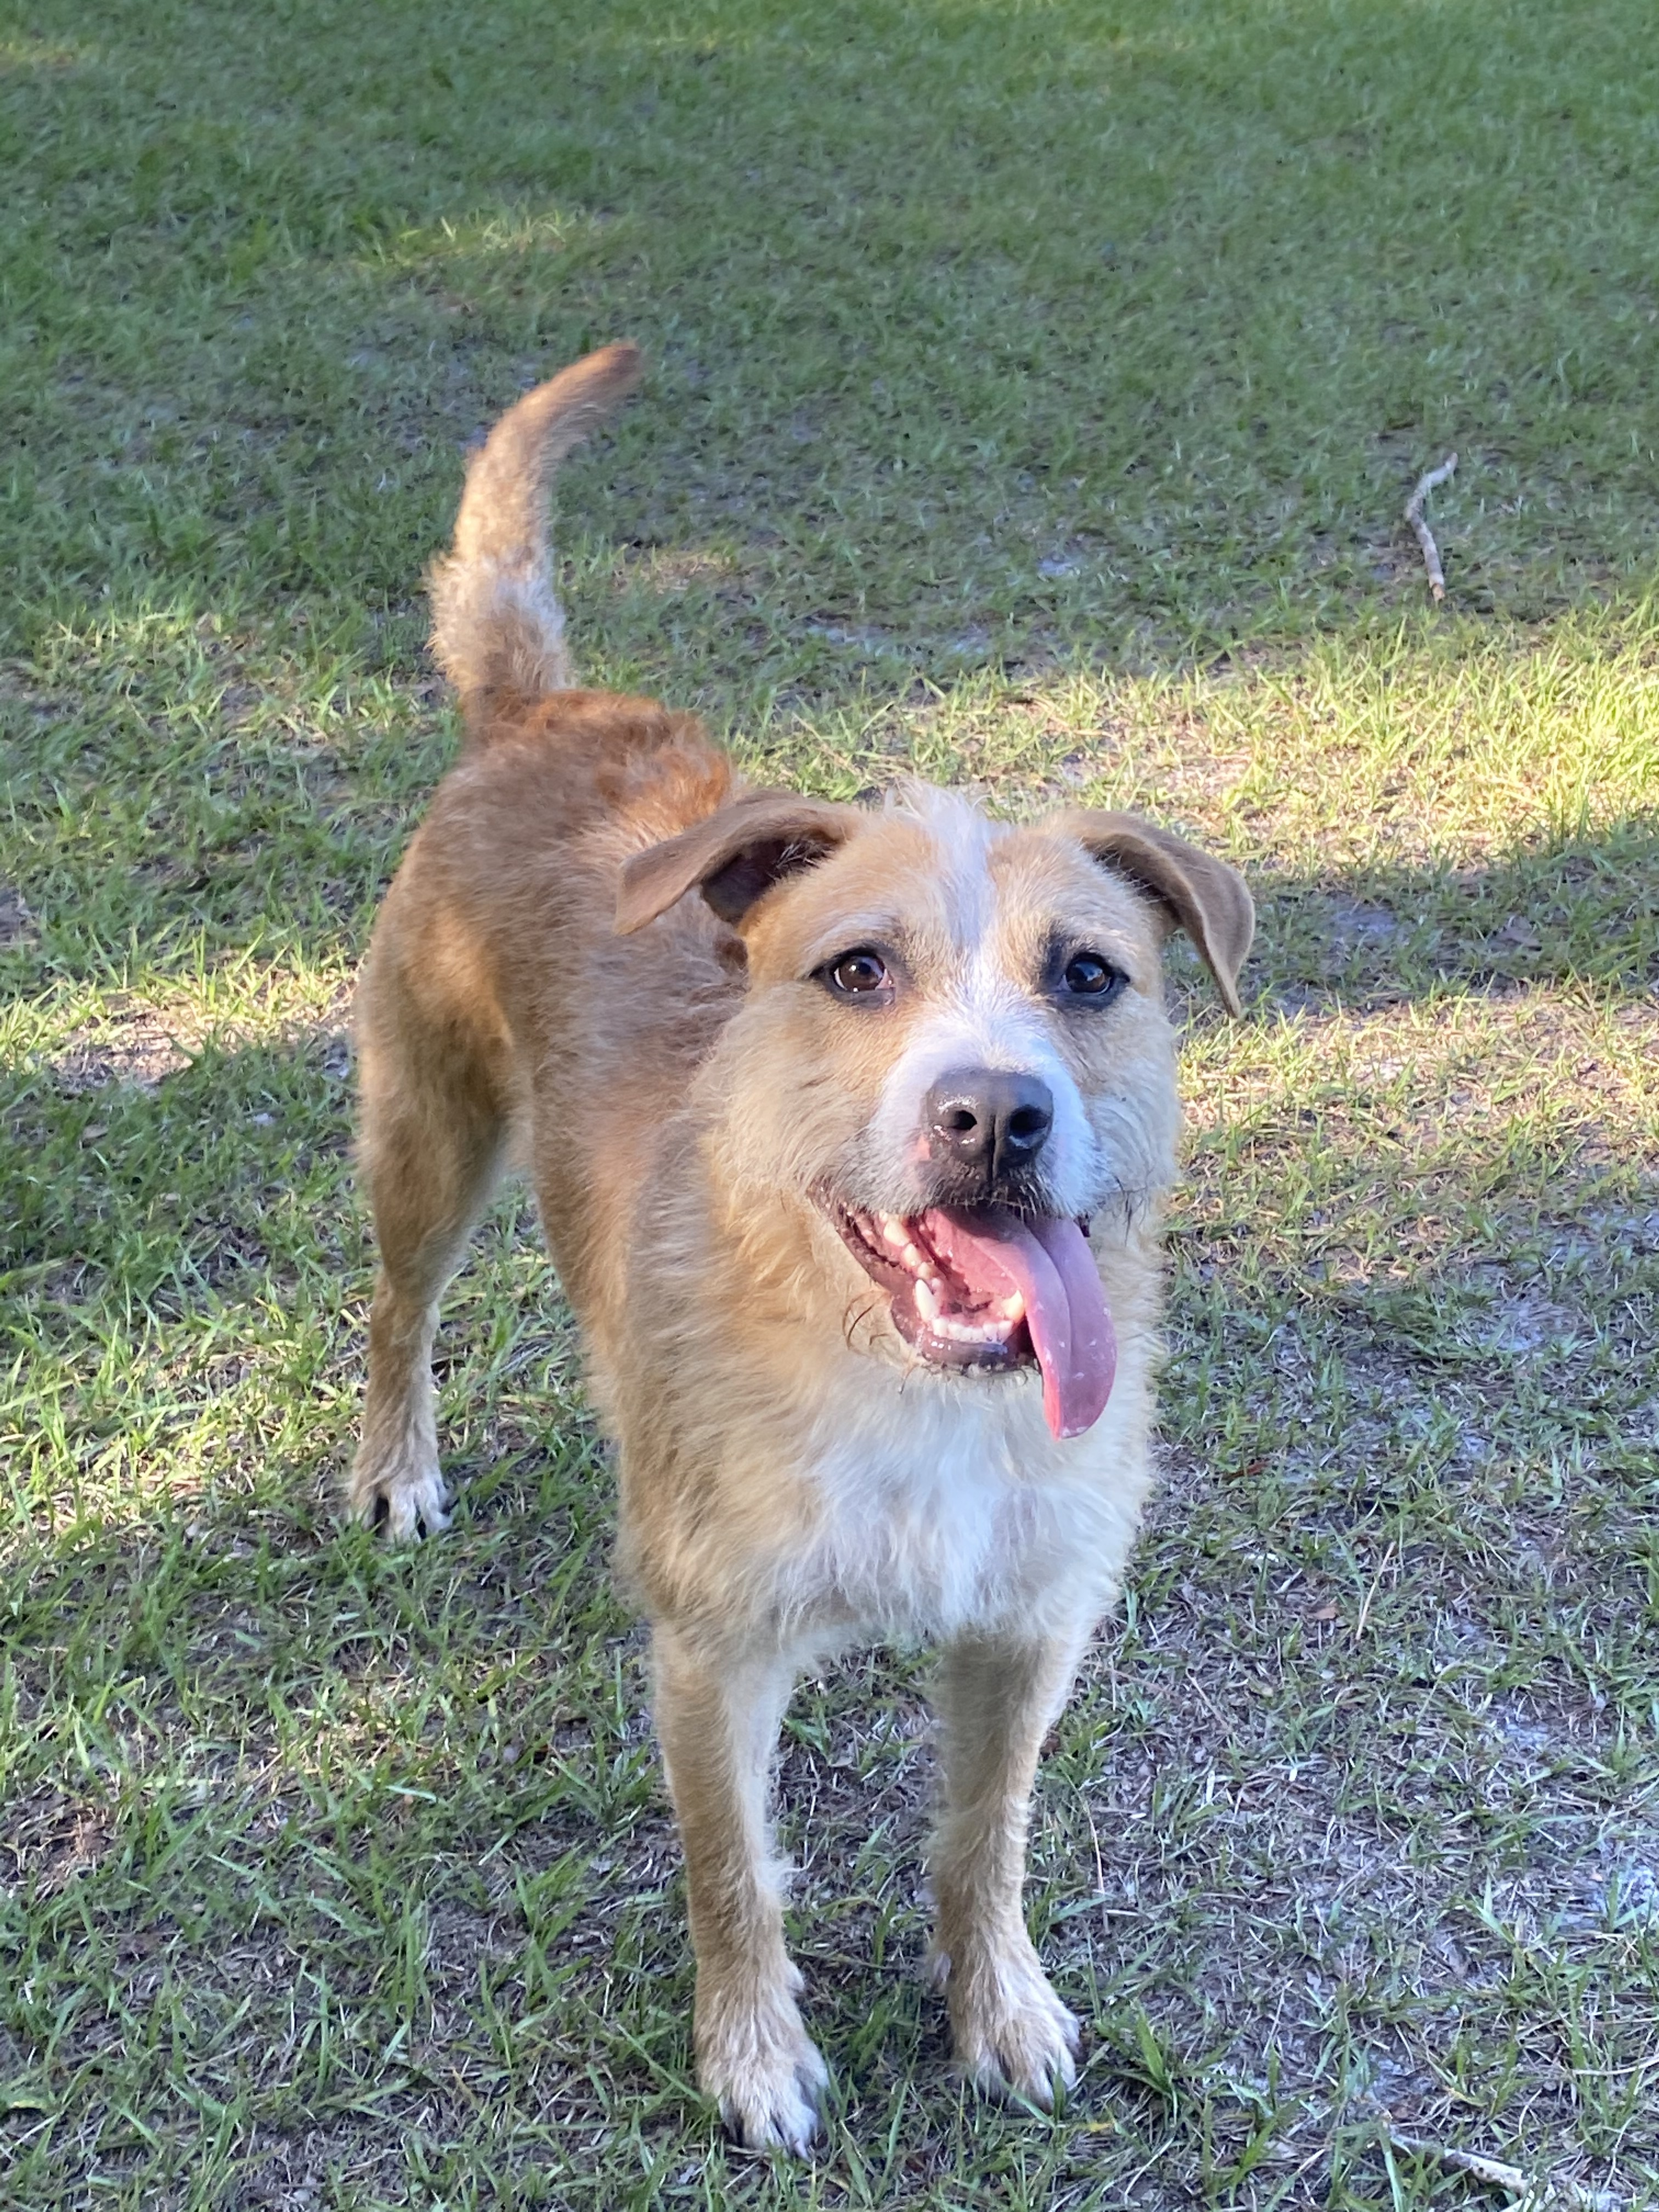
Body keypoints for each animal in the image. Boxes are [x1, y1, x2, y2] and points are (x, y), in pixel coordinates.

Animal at [354, 340, 1256, 2141]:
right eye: (856, 970)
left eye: (1091, 975)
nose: (994, 1118)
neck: (906, 1382)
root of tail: (543, 711)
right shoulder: (715, 1652)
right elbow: (733, 1872)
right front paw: (752, 2052)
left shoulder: (1026, 1632)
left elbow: (987, 1841)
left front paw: (998, 2006)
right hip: (432, 1137)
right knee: (394, 1314)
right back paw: (396, 1465)